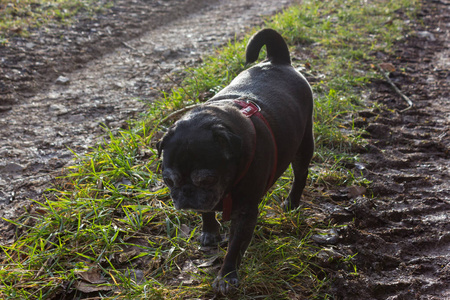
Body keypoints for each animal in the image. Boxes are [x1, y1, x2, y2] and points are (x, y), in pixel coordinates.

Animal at [157, 28, 312, 292]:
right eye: (169, 181)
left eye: (208, 180)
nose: (186, 192)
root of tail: (276, 60)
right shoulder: (207, 201)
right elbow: (206, 212)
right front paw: (210, 232)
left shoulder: (245, 212)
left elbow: (235, 246)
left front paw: (227, 275)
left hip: (304, 145)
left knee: (300, 175)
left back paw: (291, 203)